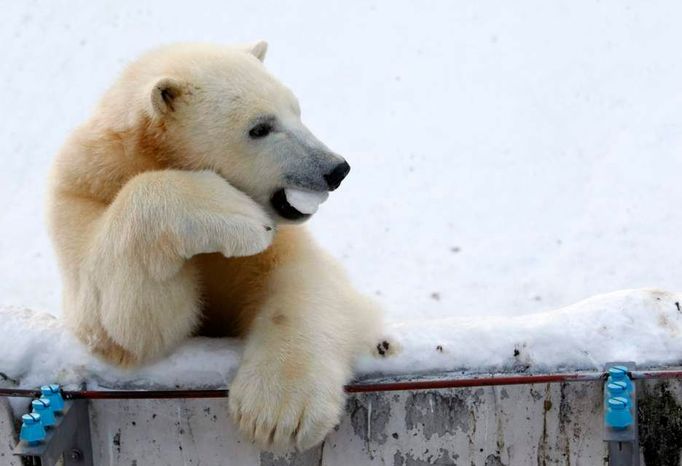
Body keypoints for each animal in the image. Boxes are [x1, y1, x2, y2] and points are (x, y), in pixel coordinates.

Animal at [47, 41, 382, 452]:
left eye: (296, 110)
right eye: (260, 127)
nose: (335, 169)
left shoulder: (281, 245)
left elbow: (306, 281)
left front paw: (279, 413)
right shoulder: (81, 197)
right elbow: (127, 325)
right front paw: (235, 213)